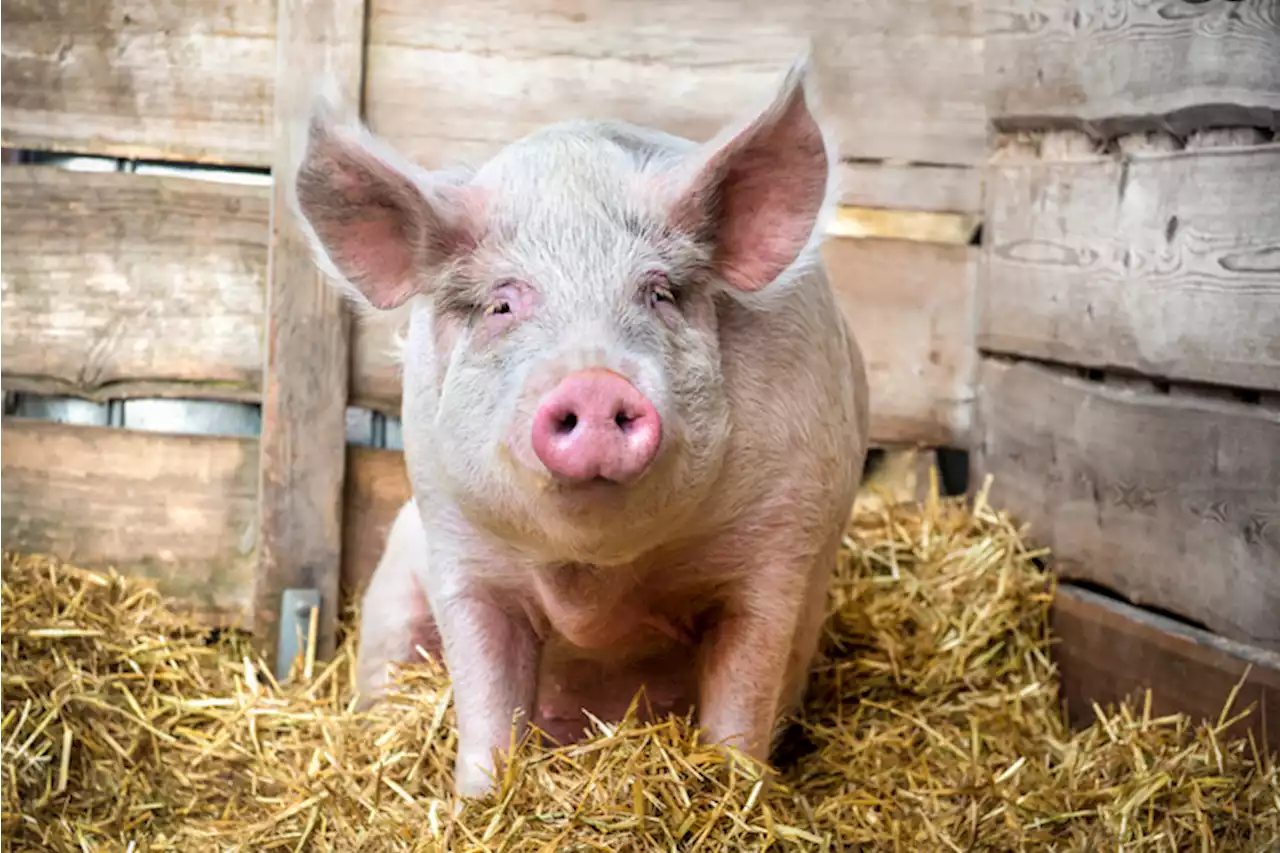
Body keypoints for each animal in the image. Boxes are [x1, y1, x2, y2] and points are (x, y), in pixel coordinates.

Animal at [290, 54, 870, 799]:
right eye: (503, 304)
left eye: (659, 293)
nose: (595, 382)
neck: (596, 580)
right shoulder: (457, 543)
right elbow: (485, 696)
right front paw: (477, 801)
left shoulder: (779, 547)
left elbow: (742, 697)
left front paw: (733, 791)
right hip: (395, 574)